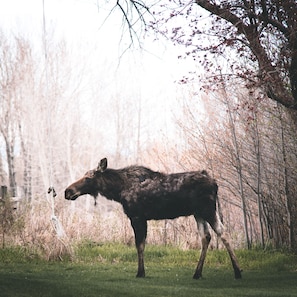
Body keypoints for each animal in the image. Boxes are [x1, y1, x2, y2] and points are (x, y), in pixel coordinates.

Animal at [65, 157, 240, 278]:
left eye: (88, 178)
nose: (68, 191)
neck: (118, 190)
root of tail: (215, 183)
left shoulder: (137, 217)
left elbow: (140, 245)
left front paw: (140, 272)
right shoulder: (142, 219)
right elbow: (141, 245)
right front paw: (141, 271)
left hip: (208, 209)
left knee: (223, 233)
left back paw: (237, 271)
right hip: (198, 213)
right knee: (206, 237)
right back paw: (197, 273)